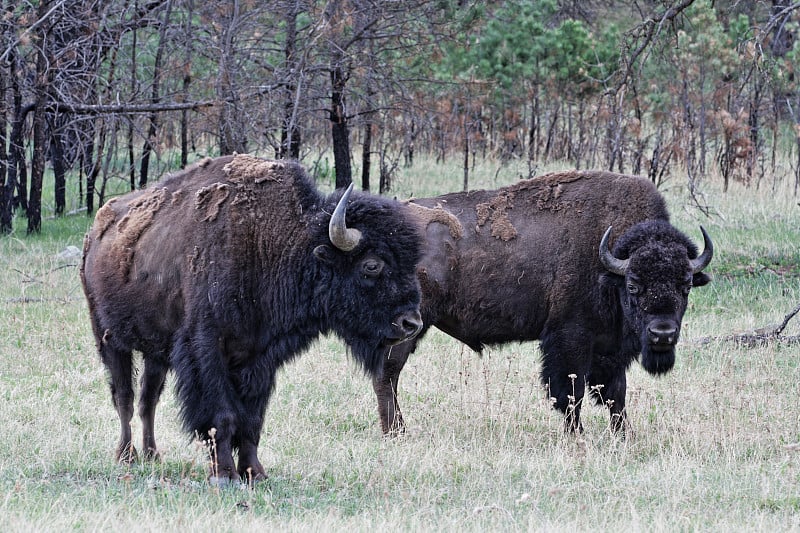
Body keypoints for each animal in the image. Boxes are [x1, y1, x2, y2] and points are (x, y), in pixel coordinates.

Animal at [81, 155, 424, 482]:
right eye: (372, 265)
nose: (411, 323)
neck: (270, 243)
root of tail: (95, 233)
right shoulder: (206, 352)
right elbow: (222, 416)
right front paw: (224, 474)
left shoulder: (259, 358)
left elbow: (252, 419)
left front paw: (254, 472)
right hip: (109, 339)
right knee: (124, 398)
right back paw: (127, 456)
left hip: (156, 353)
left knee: (147, 400)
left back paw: (153, 455)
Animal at [374, 170, 712, 436]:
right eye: (633, 285)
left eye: (685, 286)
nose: (662, 334)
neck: (608, 265)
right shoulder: (570, 339)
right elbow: (571, 393)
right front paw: (577, 436)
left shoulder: (612, 349)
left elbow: (617, 394)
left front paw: (623, 436)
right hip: (407, 326)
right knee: (387, 374)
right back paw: (397, 432)